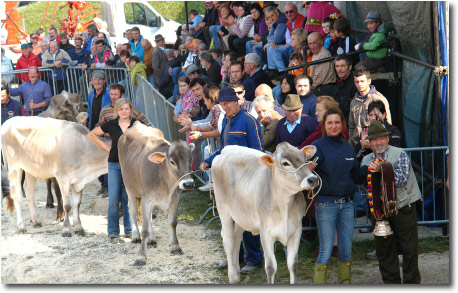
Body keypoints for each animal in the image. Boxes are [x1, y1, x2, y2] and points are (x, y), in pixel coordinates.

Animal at [211, 141, 318, 282]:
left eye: (305, 159)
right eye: (285, 163)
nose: (313, 179)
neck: (284, 206)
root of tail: (226, 149)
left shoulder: (296, 229)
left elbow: (293, 264)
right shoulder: (266, 232)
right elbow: (271, 267)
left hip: (242, 215)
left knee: (237, 238)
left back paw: (236, 272)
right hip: (223, 209)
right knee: (228, 240)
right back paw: (232, 276)